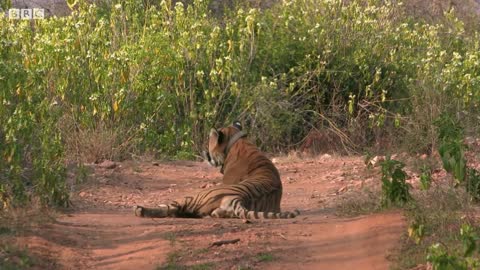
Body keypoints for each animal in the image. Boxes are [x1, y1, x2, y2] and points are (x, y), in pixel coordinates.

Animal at [135, 121, 298, 218]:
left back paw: (140, 209)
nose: (203, 152)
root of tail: (238, 199)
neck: (238, 143)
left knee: (171, 208)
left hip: (195, 196)